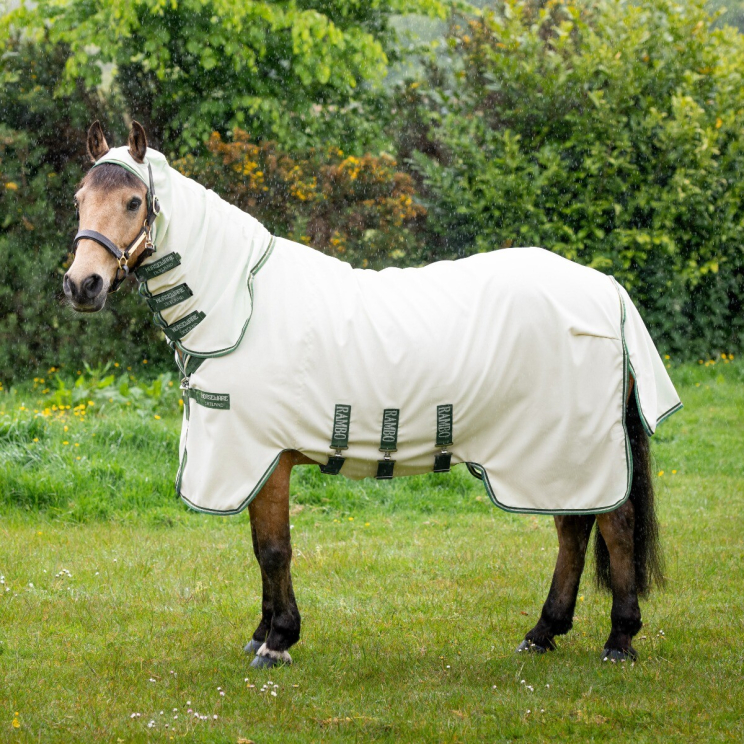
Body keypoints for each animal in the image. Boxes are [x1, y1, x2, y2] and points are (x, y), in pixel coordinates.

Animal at [63, 121, 680, 669]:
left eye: (134, 201)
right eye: (79, 199)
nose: (81, 285)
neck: (242, 306)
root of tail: (608, 289)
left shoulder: (266, 456)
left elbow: (274, 549)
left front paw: (278, 641)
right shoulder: (254, 461)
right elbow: (261, 550)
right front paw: (263, 631)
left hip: (574, 445)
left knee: (614, 525)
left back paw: (619, 639)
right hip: (552, 452)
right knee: (574, 527)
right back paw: (544, 632)